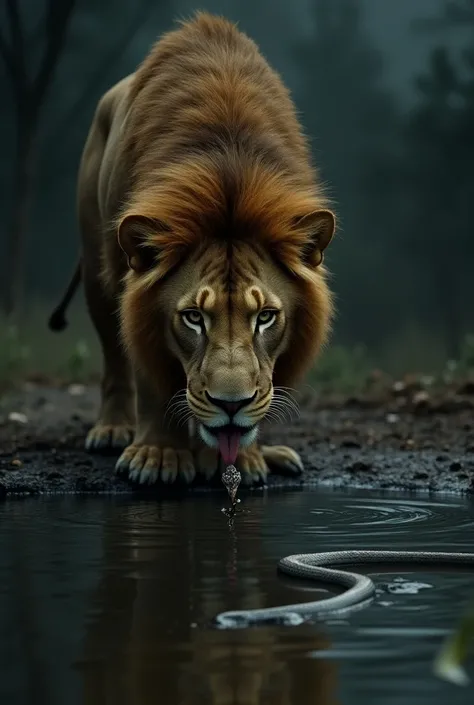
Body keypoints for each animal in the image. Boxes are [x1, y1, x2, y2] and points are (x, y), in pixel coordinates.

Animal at [50, 11, 336, 486]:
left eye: (266, 317)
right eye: (193, 318)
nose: (231, 405)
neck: (228, 171)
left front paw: (246, 459)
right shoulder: (134, 287)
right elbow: (148, 373)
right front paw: (158, 456)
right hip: (96, 267)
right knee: (114, 356)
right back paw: (114, 429)